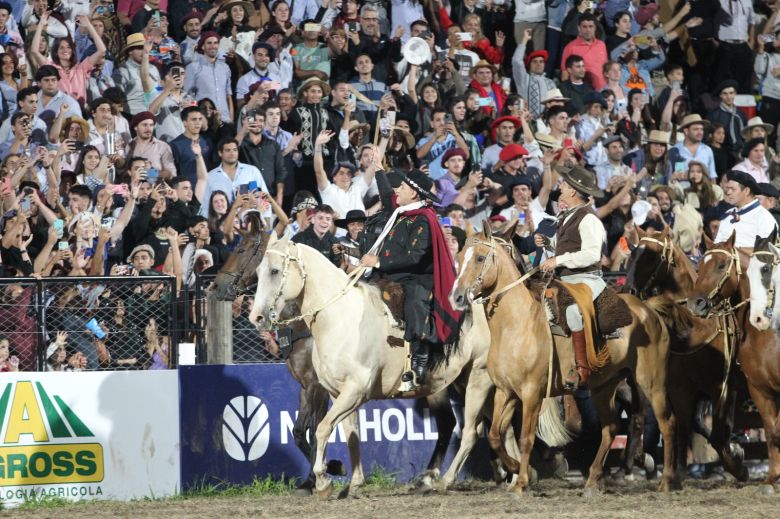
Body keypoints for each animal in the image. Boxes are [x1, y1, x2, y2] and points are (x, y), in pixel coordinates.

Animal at [247, 238, 508, 502]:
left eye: (275, 271)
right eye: (258, 271)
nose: (256, 317)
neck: (339, 318)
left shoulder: (350, 390)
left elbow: (321, 429)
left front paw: (323, 479)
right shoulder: (336, 393)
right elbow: (350, 435)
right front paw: (353, 483)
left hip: (478, 377)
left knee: (471, 431)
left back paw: (449, 479)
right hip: (453, 383)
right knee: (459, 424)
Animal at [450, 229, 676, 496]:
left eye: (480, 258)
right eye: (459, 257)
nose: (457, 297)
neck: (517, 323)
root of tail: (648, 311)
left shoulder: (532, 394)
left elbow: (526, 438)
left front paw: (522, 481)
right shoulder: (506, 392)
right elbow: (496, 435)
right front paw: (516, 470)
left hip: (651, 382)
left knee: (665, 422)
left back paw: (665, 480)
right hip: (604, 386)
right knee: (610, 428)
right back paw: (592, 481)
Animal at [620, 228, 748, 484]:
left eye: (652, 256)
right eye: (632, 254)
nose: (629, 290)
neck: (694, 326)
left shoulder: (721, 388)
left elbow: (715, 433)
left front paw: (738, 464)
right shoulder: (681, 389)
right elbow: (683, 427)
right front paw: (675, 473)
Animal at [688, 234, 780, 494]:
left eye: (721, 265)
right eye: (700, 266)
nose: (695, 303)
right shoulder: (757, 389)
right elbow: (771, 431)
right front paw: (771, 478)